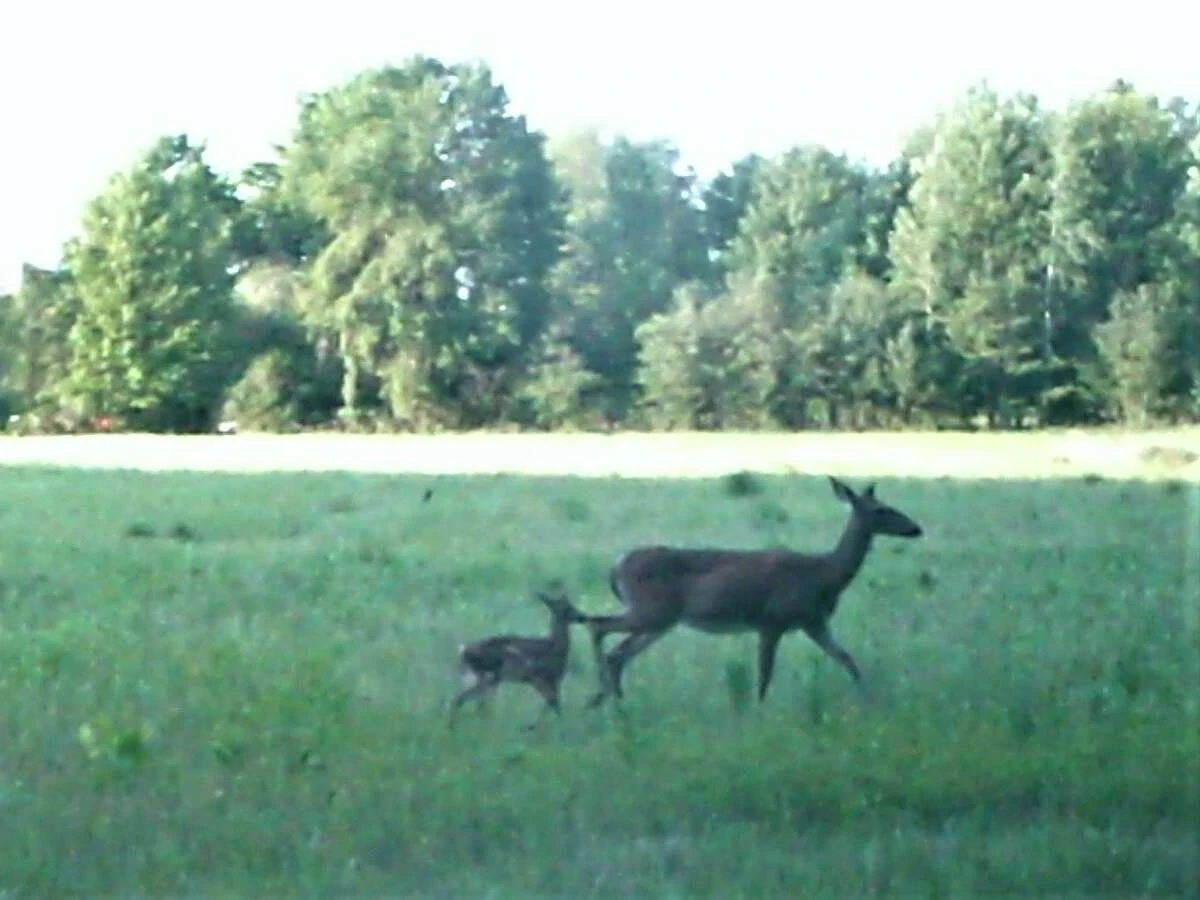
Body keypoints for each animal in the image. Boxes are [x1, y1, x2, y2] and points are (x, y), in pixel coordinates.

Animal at [449, 588, 588, 730]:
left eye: (571, 605)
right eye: (568, 608)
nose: (583, 617)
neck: (556, 647)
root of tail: (463, 651)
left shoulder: (544, 681)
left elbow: (551, 705)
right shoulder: (541, 678)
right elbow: (554, 705)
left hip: (485, 677)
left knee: (468, 700)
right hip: (489, 675)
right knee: (465, 699)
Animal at [583, 476, 923, 708]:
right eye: (882, 509)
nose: (916, 528)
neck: (824, 574)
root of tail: (617, 565)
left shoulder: (814, 622)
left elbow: (848, 660)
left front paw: (870, 699)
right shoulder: (771, 620)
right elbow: (764, 674)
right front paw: (758, 710)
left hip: (660, 620)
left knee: (618, 652)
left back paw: (611, 699)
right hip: (652, 611)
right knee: (599, 627)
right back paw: (602, 696)